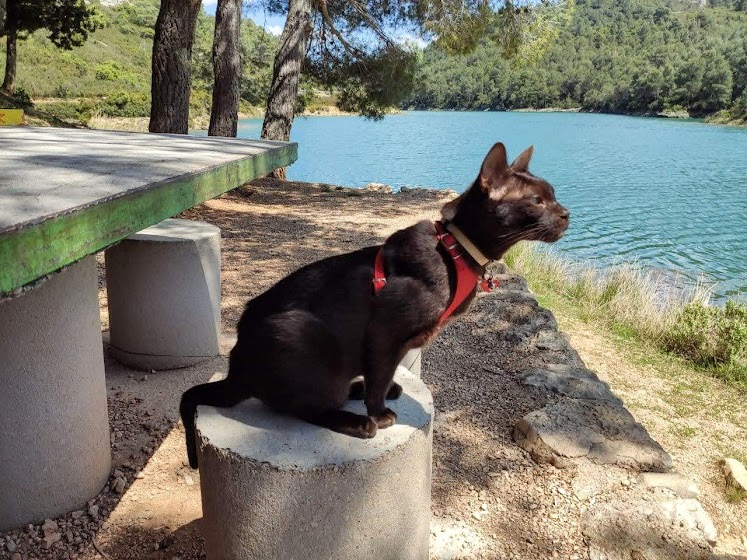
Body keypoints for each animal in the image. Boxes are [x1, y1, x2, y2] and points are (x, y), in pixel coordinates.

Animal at [183, 141, 572, 468]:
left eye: (554, 195)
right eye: (537, 201)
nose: (566, 212)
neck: (455, 252)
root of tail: (236, 367)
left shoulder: (392, 347)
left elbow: (380, 376)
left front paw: (381, 394)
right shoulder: (384, 335)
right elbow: (380, 375)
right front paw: (379, 413)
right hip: (303, 335)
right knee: (303, 406)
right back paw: (357, 422)